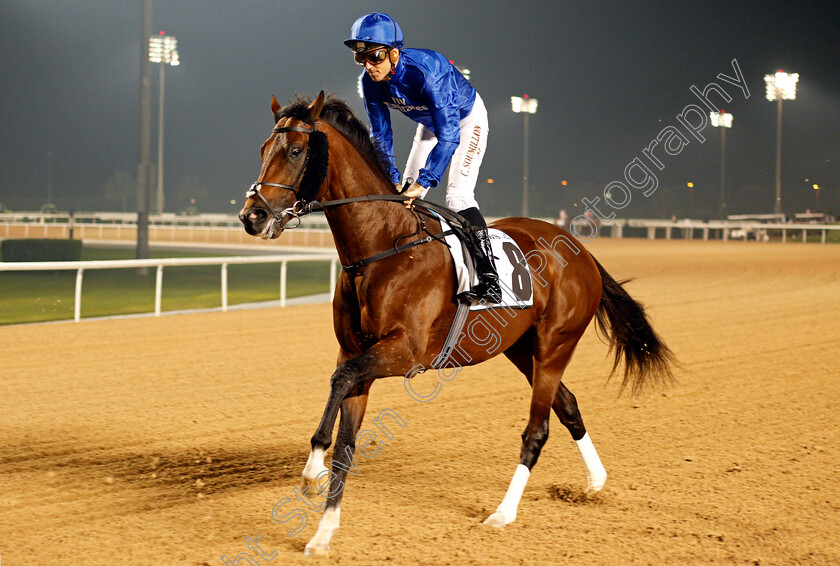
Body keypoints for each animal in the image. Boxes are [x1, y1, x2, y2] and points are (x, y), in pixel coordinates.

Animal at [238, 91, 676, 556]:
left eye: (296, 151)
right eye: (263, 149)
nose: (252, 216)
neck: (383, 247)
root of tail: (580, 251)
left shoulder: (405, 352)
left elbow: (340, 384)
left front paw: (311, 472)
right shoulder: (357, 352)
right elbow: (346, 436)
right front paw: (323, 530)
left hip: (556, 344)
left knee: (537, 430)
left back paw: (503, 513)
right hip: (522, 349)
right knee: (569, 406)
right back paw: (595, 482)